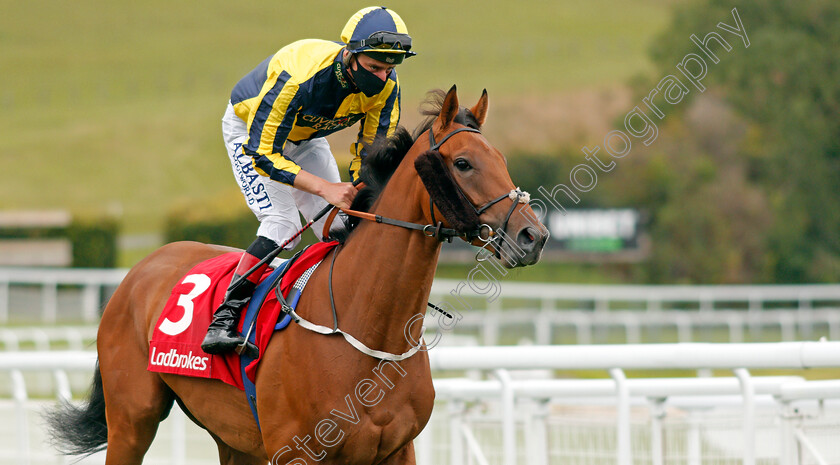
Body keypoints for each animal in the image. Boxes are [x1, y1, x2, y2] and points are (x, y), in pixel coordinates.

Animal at [47, 85, 544, 462]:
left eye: (501, 158)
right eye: (463, 163)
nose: (532, 236)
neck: (369, 330)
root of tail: (140, 270)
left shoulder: (397, 449)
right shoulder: (296, 450)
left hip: (232, 437)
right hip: (133, 419)